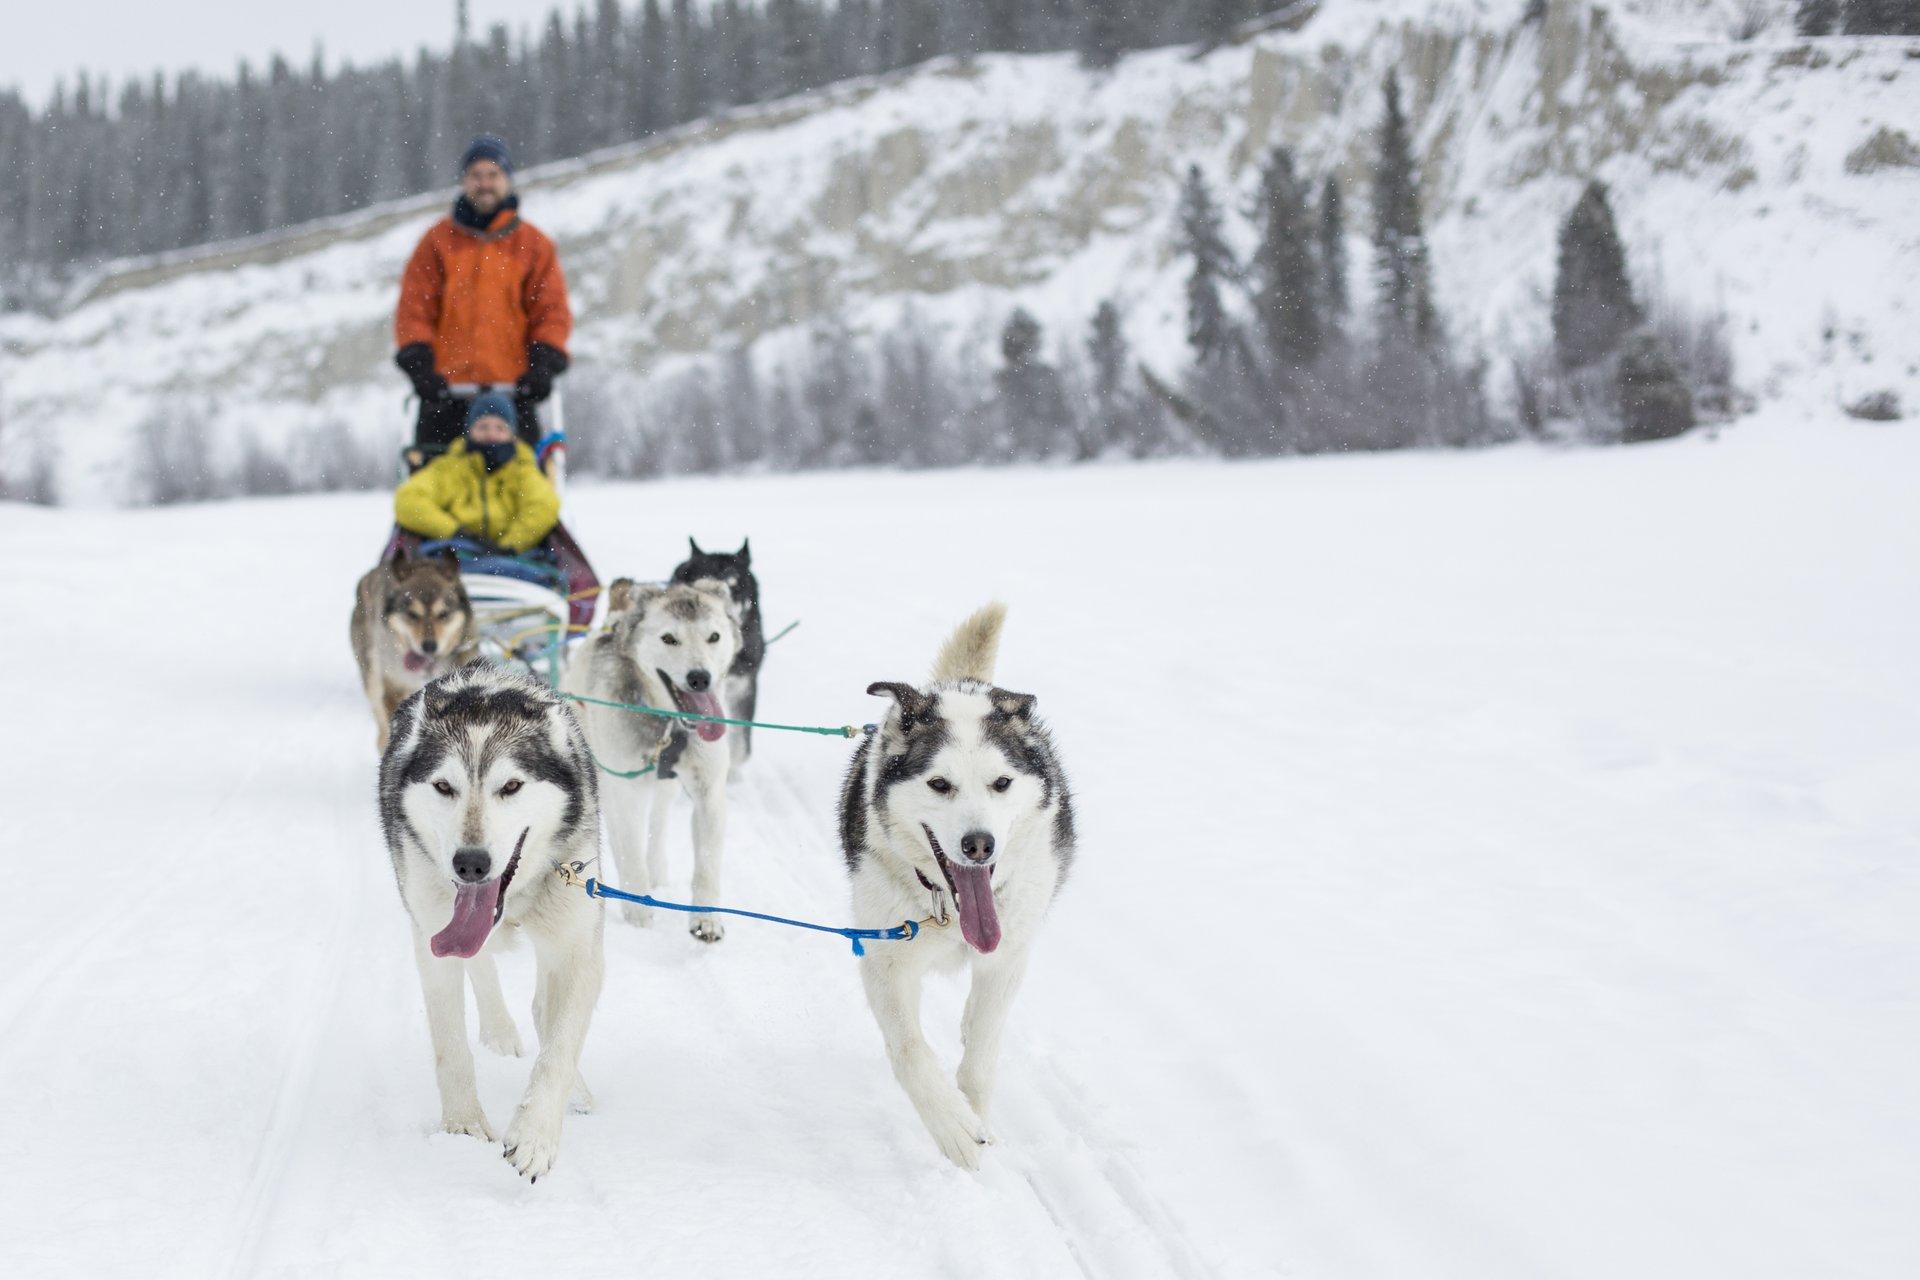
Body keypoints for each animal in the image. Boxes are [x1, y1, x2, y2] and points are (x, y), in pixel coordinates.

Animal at [378, 667, 602, 1189]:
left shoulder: (578, 948)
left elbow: (559, 1047)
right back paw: (499, 1030)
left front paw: (536, 1136)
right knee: (480, 966)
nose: (471, 864)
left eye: (512, 786)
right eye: (444, 787)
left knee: (543, 1009)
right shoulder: (431, 937)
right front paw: (462, 1128)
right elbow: (450, 1044)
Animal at [560, 579, 741, 940]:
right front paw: (638, 911)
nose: (700, 677)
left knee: (657, 820)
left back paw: (657, 869)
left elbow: (707, 862)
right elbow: (629, 851)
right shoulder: (625, 789)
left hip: (662, 787)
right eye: (669, 638)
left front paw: (707, 918)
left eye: (714, 636)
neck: (670, 725)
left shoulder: (709, 791)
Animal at [840, 606, 1082, 1166]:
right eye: (939, 784)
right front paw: (953, 1126)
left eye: (1002, 783)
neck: (948, 911)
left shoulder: (1007, 955)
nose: (979, 845)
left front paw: (973, 1108)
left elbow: (984, 1052)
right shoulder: (884, 958)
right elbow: (909, 1049)